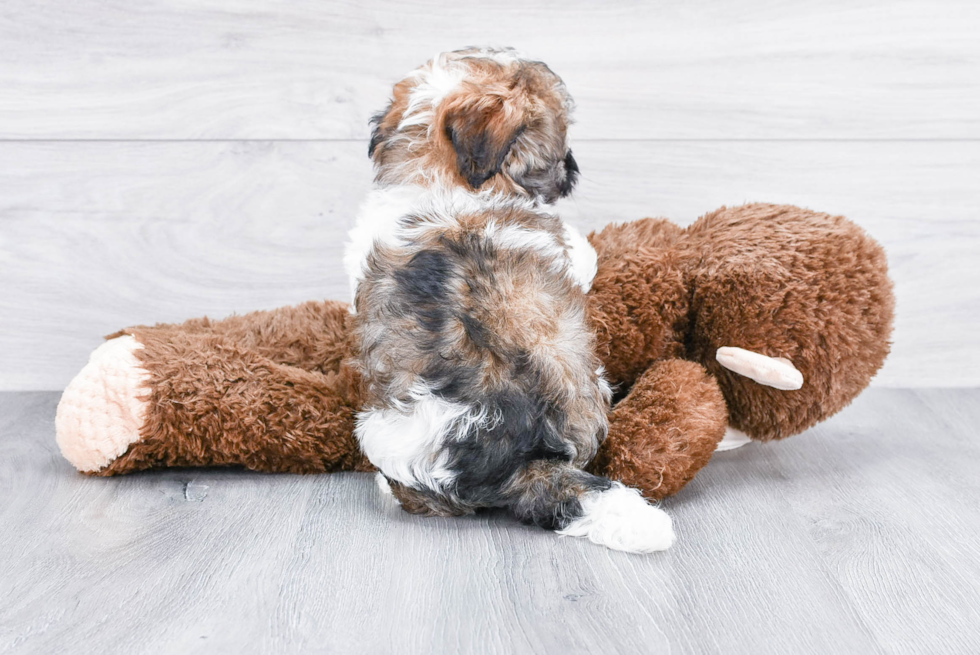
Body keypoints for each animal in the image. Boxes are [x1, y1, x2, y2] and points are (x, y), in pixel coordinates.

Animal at [344, 47, 672, 552]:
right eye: (556, 149)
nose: (573, 170)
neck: (439, 171)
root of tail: (518, 462)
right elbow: (580, 253)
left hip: (376, 427)